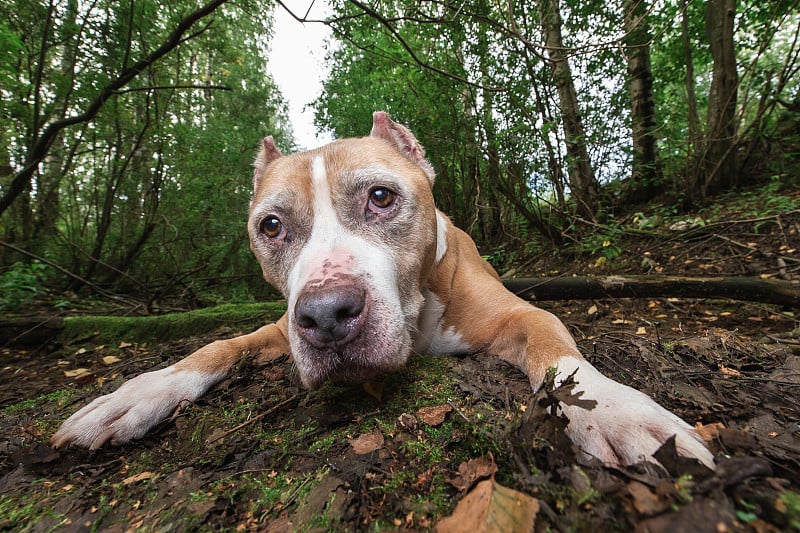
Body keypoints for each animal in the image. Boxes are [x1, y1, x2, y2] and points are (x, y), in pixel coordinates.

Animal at [51, 110, 712, 468]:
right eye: (271, 226)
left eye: (381, 197)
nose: (325, 315)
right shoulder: (278, 327)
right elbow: (216, 346)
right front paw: (137, 393)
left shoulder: (517, 318)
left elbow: (559, 349)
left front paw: (613, 407)